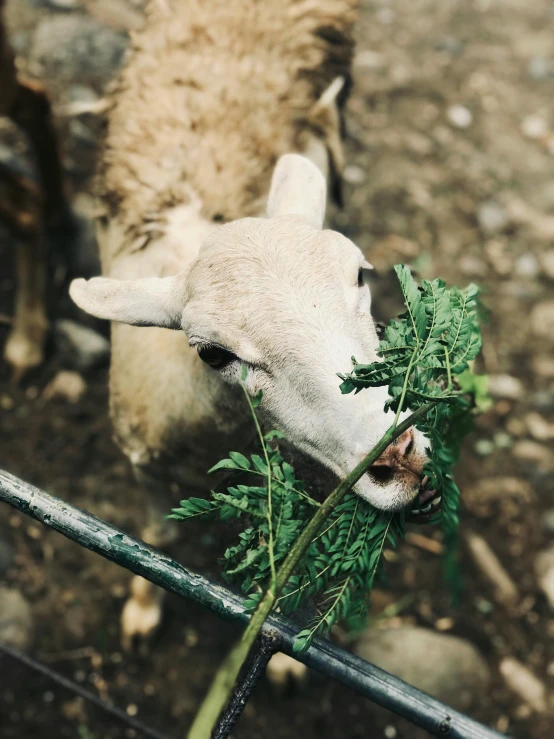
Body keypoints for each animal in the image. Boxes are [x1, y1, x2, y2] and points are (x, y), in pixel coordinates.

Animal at [70, 0, 432, 652]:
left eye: (360, 276)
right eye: (213, 353)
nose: (401, 457)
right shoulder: (142, 458)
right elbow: (153, 539)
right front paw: (142, 607)